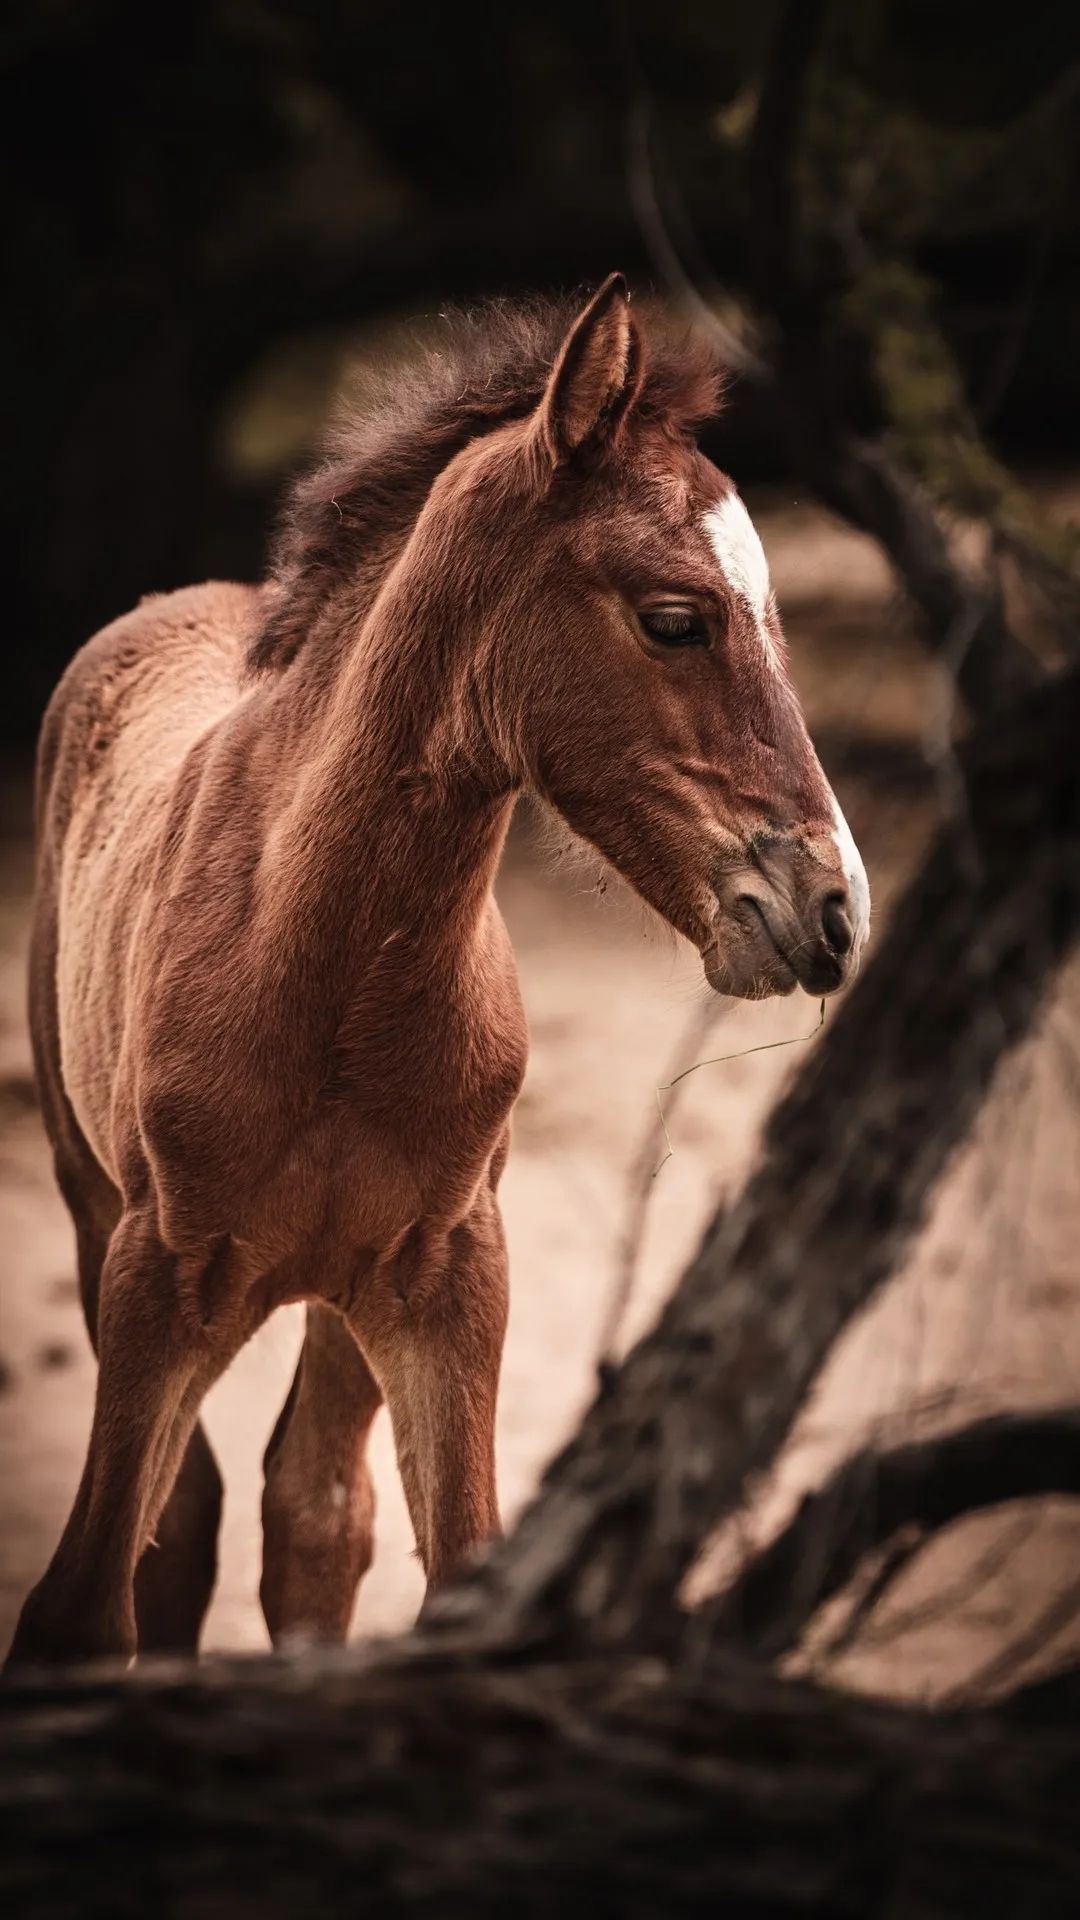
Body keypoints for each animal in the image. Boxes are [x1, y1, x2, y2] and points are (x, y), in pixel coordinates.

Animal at [7, 274, 869, 1668]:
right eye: (675, 620)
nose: (834, 909)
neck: (323, 977)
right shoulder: (157, 1277)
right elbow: (86, 1601)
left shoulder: (452, 1280)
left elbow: (448, 1564)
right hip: (95, 1211)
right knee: (195, 1519)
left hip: (339, 1295)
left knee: (313, 1511)